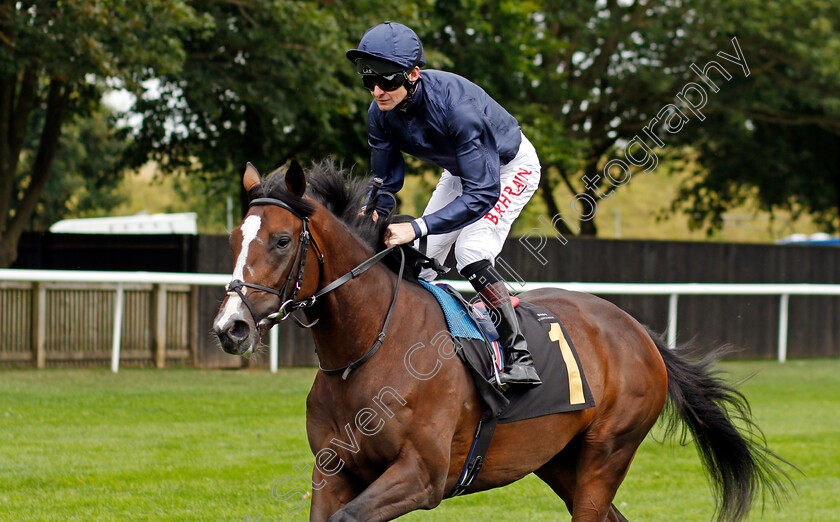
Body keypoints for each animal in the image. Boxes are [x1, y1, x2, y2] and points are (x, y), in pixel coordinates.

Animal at [212, 159, 788, 520]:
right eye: (235, 238)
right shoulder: (333, 471)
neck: (368, 349)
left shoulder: (421, 477)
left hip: (608, 452)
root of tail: (637, 331)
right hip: (557, 460)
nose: (230, 327)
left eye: (281, 240)